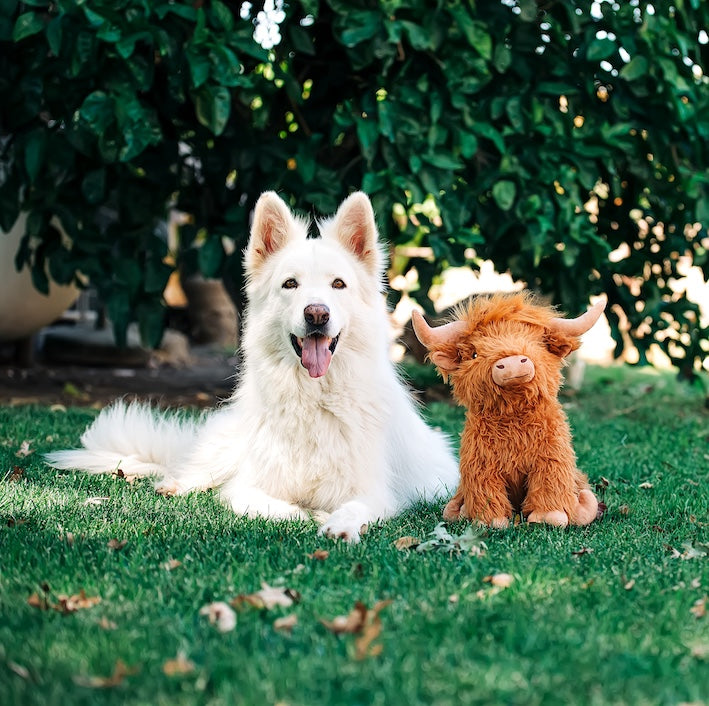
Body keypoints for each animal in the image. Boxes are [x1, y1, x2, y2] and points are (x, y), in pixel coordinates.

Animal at [49, 191, 460, 540]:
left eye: (338, 284)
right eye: (290, 284)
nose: (317, 314)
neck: (313, 399)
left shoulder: (374, 491)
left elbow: (356, 507)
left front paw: (337, 524)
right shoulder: (249, 485)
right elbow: (258, 501)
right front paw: (301, 513)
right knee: (192, 468)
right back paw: (174, 483)